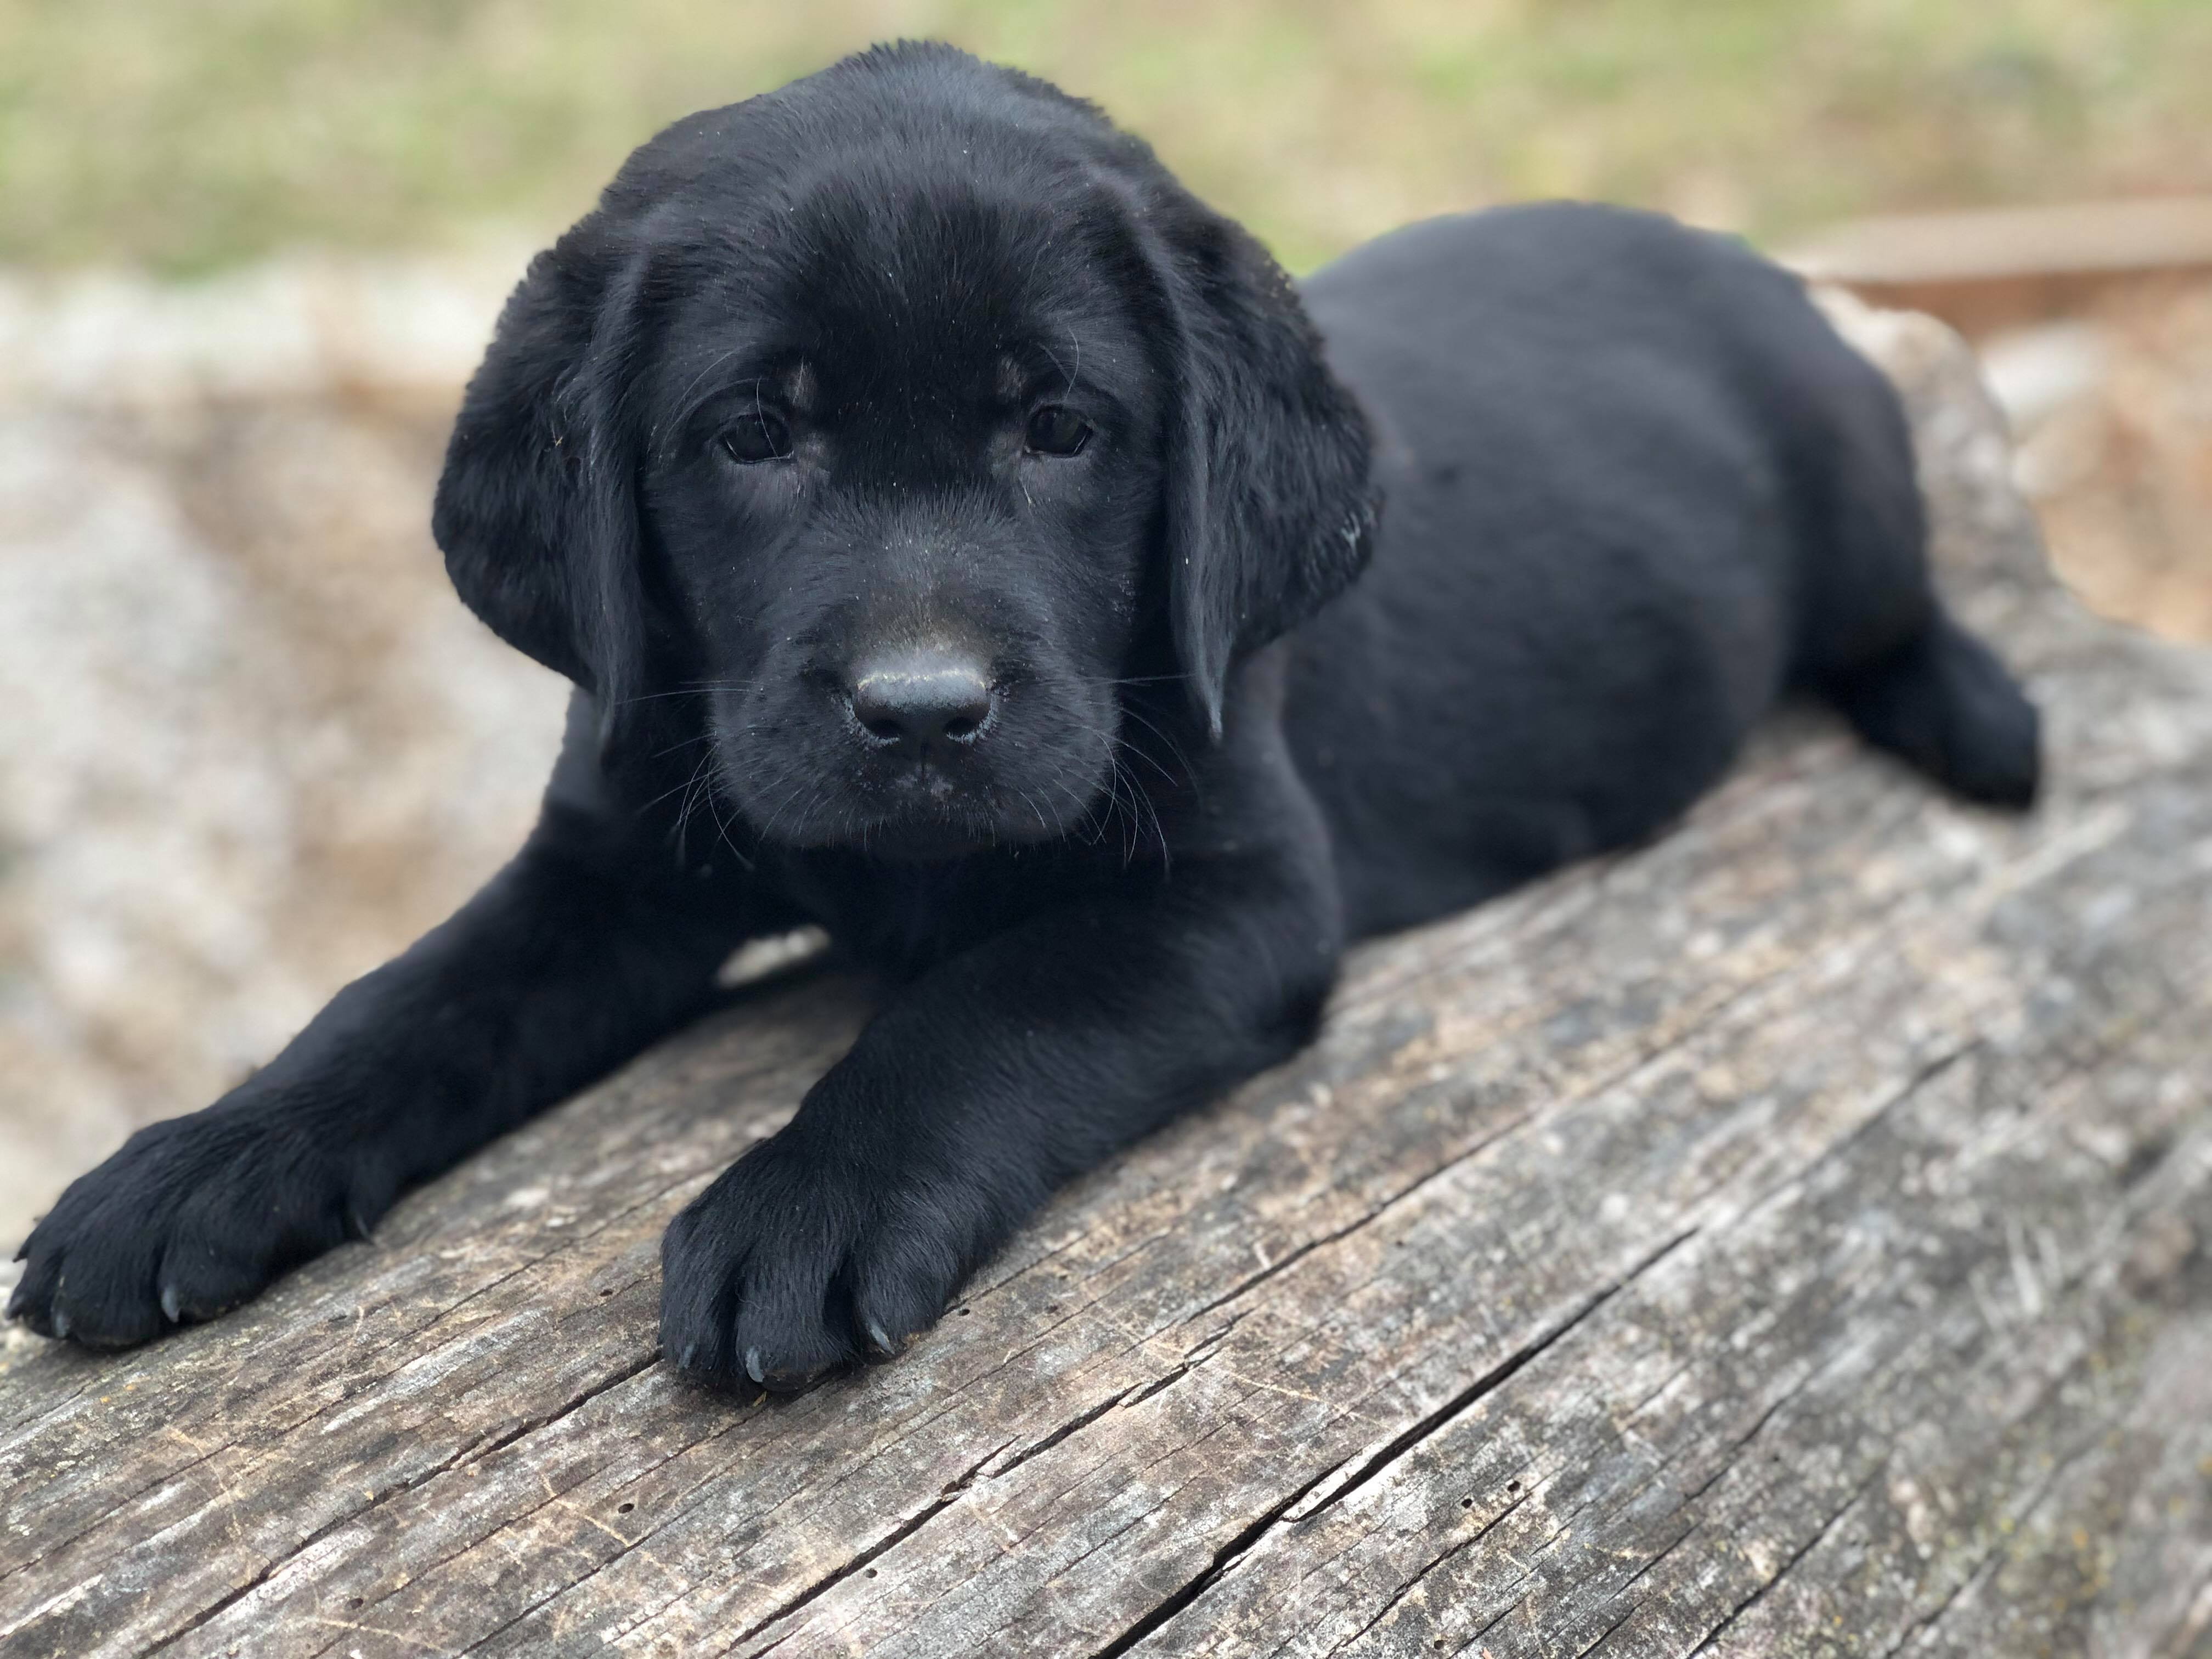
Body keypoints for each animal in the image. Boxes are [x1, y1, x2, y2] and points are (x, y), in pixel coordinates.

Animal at [4, 42, 2035, 1389]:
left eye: (1063, 427)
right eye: (752, 433)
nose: (921, 715)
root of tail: (1745, 253)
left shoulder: (1229, 893)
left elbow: (985, 1008)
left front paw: (809, 1202)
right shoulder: (617, 856)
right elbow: (408, 998)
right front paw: (204, 1163)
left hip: (1855, 482)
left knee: (1908, 598)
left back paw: (1980, 715)